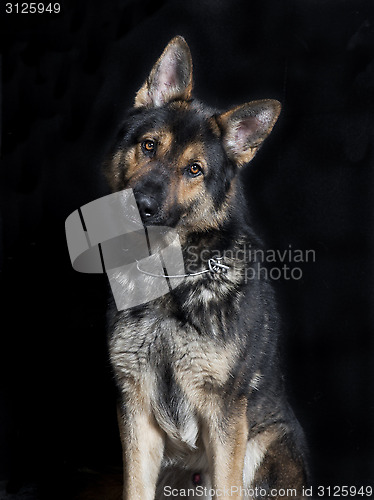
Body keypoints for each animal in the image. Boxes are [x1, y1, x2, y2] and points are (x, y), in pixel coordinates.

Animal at [105, 36, 310, 500]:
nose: (141, 205)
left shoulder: (224, 416)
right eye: (149, 146)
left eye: (194, 169)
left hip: (265, 446)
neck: (167, 280)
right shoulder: (135, 412)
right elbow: (134, 488)